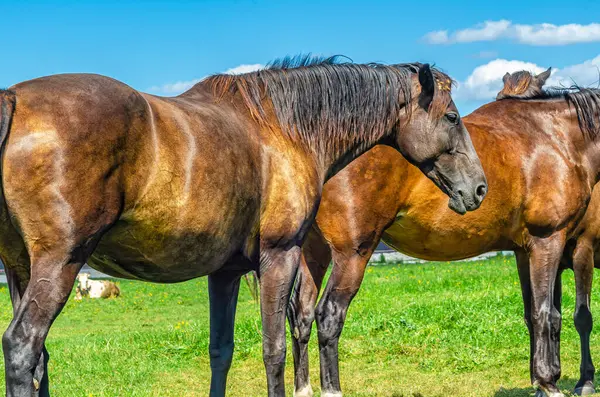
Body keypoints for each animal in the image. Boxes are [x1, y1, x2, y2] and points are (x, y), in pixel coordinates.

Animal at [0, 56, 488, 396]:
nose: (479, 189)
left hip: (21, 269)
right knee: (23, 347)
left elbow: (222, 351)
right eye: (451, 117)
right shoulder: (279, 257)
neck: (284, 129)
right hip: (60, 264)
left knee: (39, 358)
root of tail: (13, 99)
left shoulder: (226, 273)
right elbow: (274, 349)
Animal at [288, 69, 600, 396]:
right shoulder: (549, 241)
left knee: (302, 313)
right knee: (329, 315)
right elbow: (545, 314)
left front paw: (542, 381)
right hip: (352, 253)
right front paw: (550, 382)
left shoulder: (525, 251)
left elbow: (536, 314)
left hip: (315, 250)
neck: (556, 138)